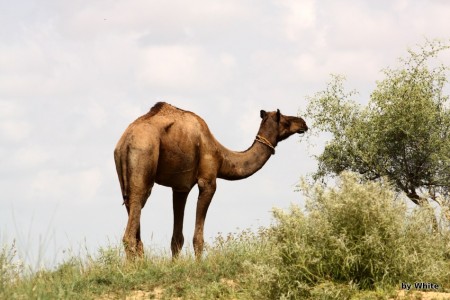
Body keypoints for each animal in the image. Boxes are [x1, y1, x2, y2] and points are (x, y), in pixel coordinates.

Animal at [114, 102, 308, 258]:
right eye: (285, 119)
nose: (303, 123)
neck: (222, 156)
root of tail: (126, 142)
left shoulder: (180, 187)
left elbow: (177, 238)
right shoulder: (208, 181)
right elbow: (198, 238)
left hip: (125, 179)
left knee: (133, 211)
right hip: (143, 158)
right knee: (132, 223)